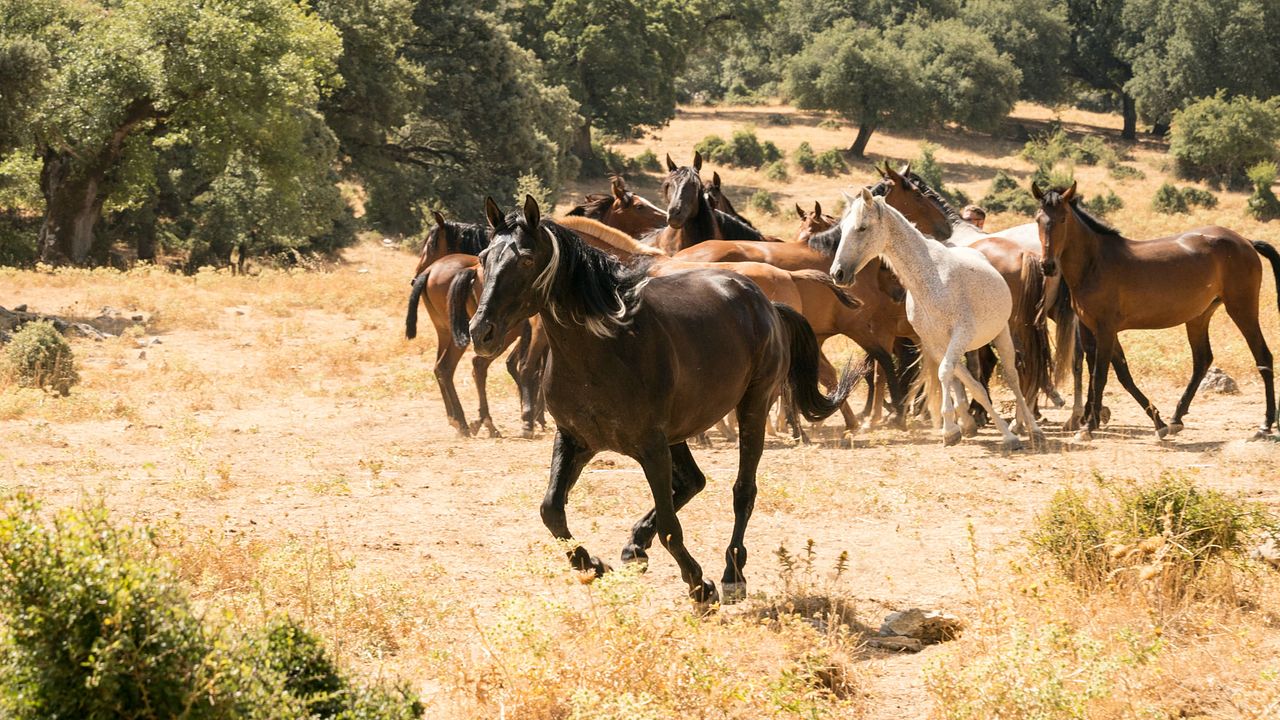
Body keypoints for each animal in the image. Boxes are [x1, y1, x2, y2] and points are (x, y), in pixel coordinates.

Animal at [407, 211, 542, 438]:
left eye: (431, 245)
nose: (414, 276)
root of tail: (430, 273)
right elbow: (528, 367)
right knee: (466, 366)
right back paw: (475, 422)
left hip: (447, 333)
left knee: (441, 368)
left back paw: (458, 420)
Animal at [458, 193, 849, 602]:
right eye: (483, 257)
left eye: (526, 259)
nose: (480, 332)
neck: (602, 348)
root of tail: (765, 304)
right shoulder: (575, 439)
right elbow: (551, 510)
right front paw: (594, 565)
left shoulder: (651, 447)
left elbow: (670, 527)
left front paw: (701, 586)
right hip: (680, 432)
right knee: (693, 482)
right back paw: (635, 547)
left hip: (752, 408)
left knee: (742, 490)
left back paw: (731, 573)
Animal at [829, 189, 1039, 448]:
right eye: (842, 228)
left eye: (862, 228)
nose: (838, 273)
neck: (931, 278)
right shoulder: (935, 342)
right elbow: (961, 379)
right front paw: (959, 427)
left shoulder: (960, 334)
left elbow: (946, 373)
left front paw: (954, 429)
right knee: (974, 375)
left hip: (1002, 334)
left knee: (1013, 376)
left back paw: (1031, 427)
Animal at [1029, 179, 1280, 438]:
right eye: (1038, 219)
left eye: (1063, 219)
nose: (1048, 266)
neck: (1094, 263)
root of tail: (1246, 242)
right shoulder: (1091, 328)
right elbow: (1120, 373)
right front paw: (1155, 421)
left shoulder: (1106, 329)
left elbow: (1101, 375)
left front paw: (1089, 426)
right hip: (1199, 316)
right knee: (1202, 360)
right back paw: (1176, 418)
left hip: (1242, 308)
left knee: (1263, 356)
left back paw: (1265, 424)